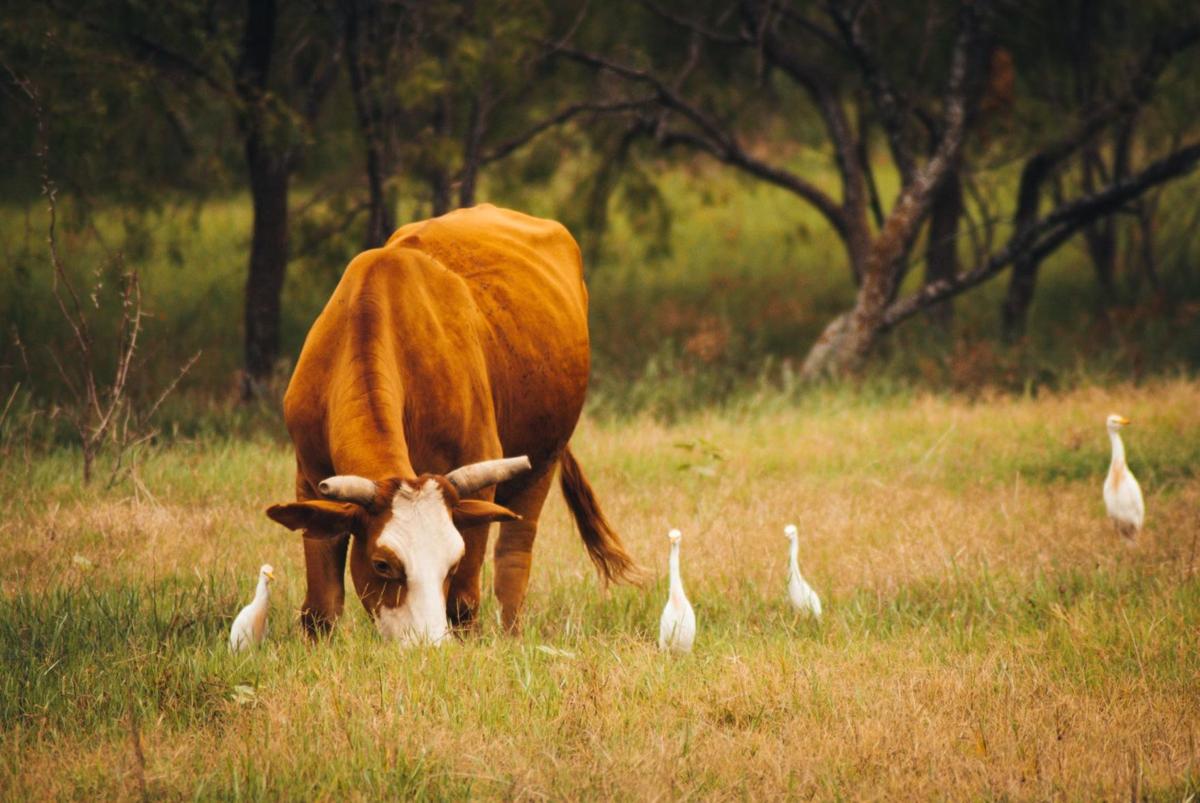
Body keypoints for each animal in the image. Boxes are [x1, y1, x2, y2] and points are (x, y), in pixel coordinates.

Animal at [262, 204, 638, 643]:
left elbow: (462, 602)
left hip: (544, 459)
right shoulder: (310, 478)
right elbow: (321, 607)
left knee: (514, 557)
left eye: (452, 563)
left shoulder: (479, 476)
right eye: (382, 564)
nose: (427, 644)